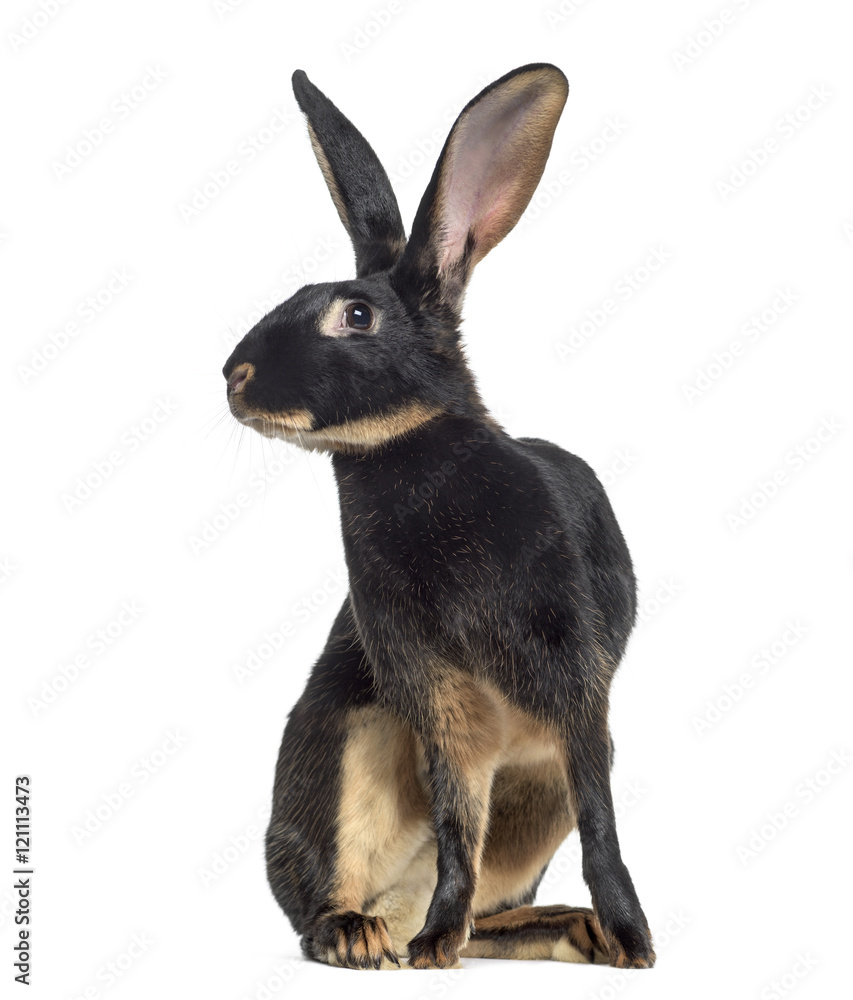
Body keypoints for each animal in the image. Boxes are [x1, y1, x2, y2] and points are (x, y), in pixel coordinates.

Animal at [222, 63, 655, 972]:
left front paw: (634, 941)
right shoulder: (433, 691)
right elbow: (459, 819)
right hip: (349, 747)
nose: (233, 376)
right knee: (337, 893)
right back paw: (371, 936)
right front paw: (431, 949)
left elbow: (599, 818)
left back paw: (568, 929)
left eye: (354, 315)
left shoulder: (571, 676)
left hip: (534, 794)